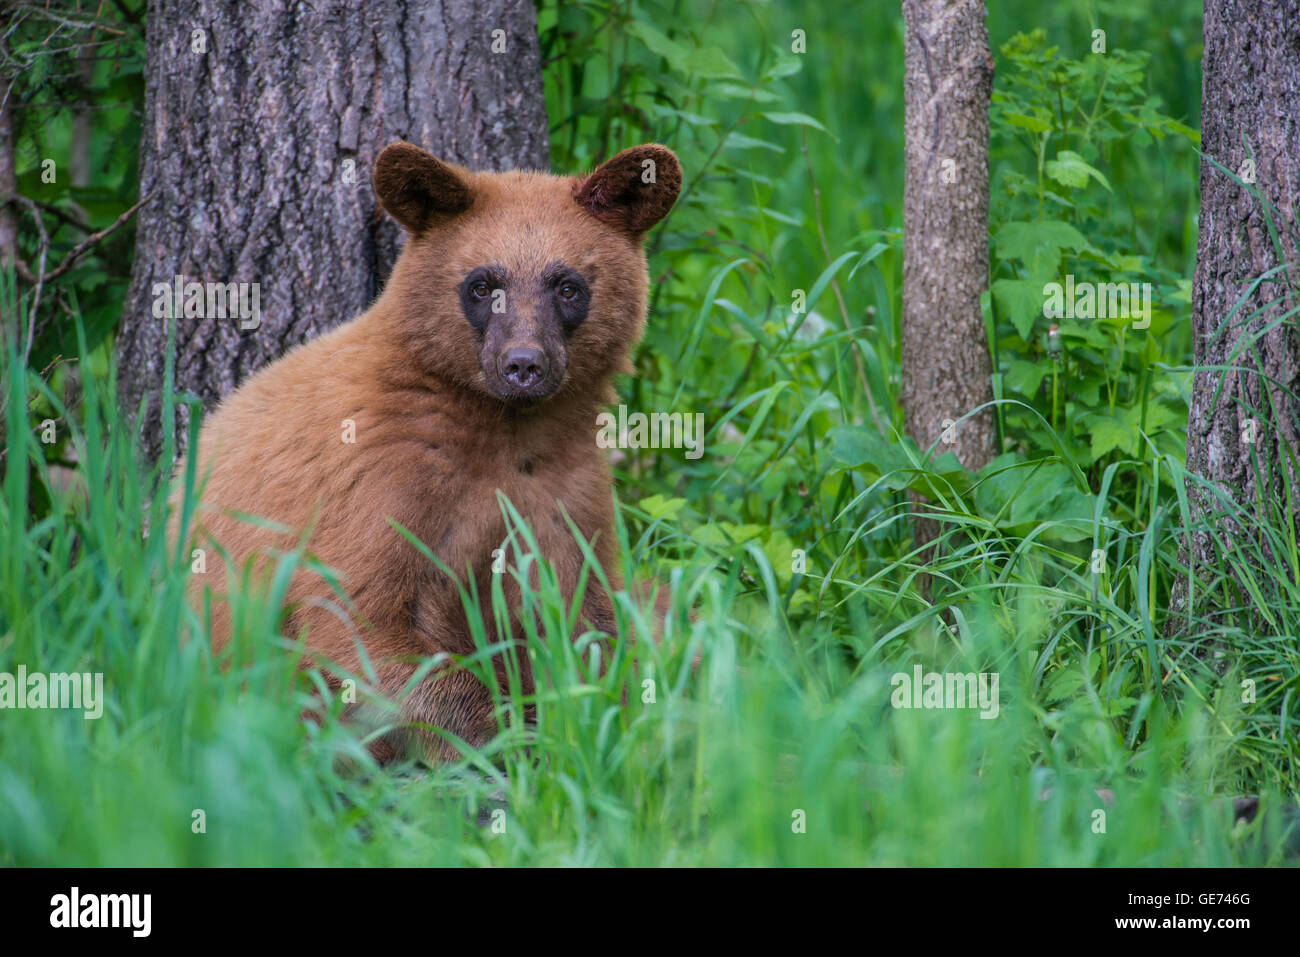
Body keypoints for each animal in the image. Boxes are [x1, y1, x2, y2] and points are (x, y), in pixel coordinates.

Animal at [178, 141, 686, 764]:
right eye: (481, 284)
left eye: (567, 286)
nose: (523, 365)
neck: (504, 429)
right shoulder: (382, 476)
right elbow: (355, 618)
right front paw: (503, 747)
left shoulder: (570, 489)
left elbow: (592, 622)